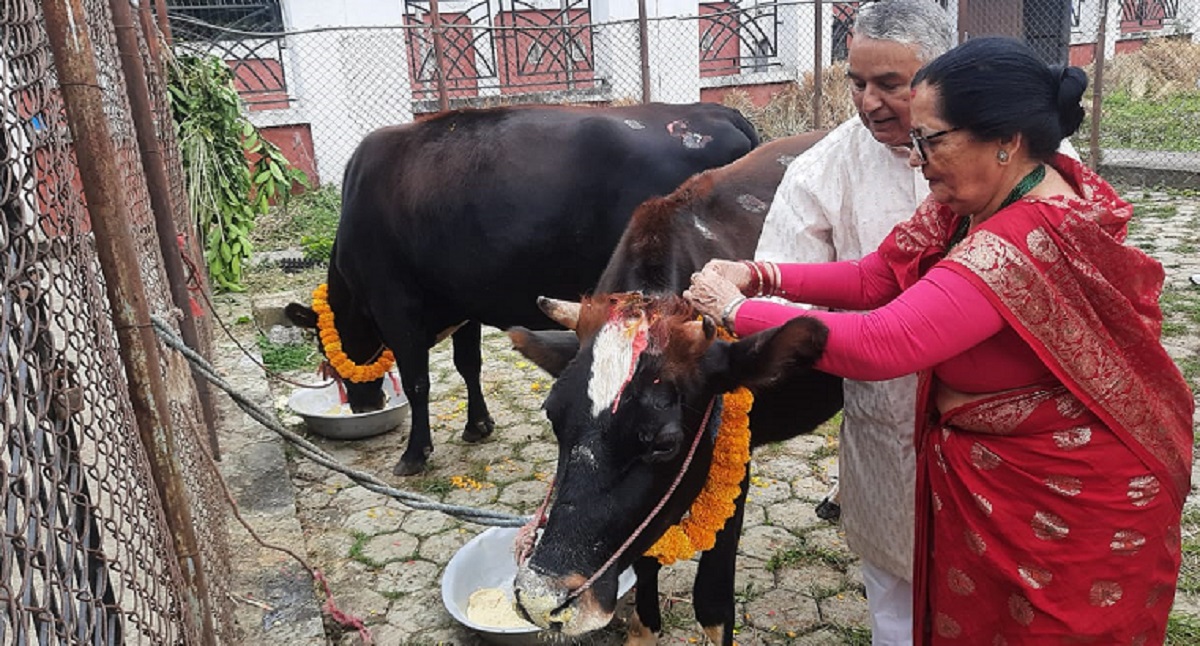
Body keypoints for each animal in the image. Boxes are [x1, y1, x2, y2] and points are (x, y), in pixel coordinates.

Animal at [284, 100, 753, 473]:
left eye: (325, 348)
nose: (364, 405)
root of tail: (715, 111)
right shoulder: (463, 303)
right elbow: (468, 365)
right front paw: (478, 426)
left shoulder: (396, 307)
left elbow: (418, 381)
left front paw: (415, 454)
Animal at [506, 132, 844, 643]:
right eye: (552, 417)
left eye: (665, 443)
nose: (543, 597)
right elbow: (646, 560)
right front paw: (644, 625)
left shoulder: (734, 459)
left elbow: (712, 602)